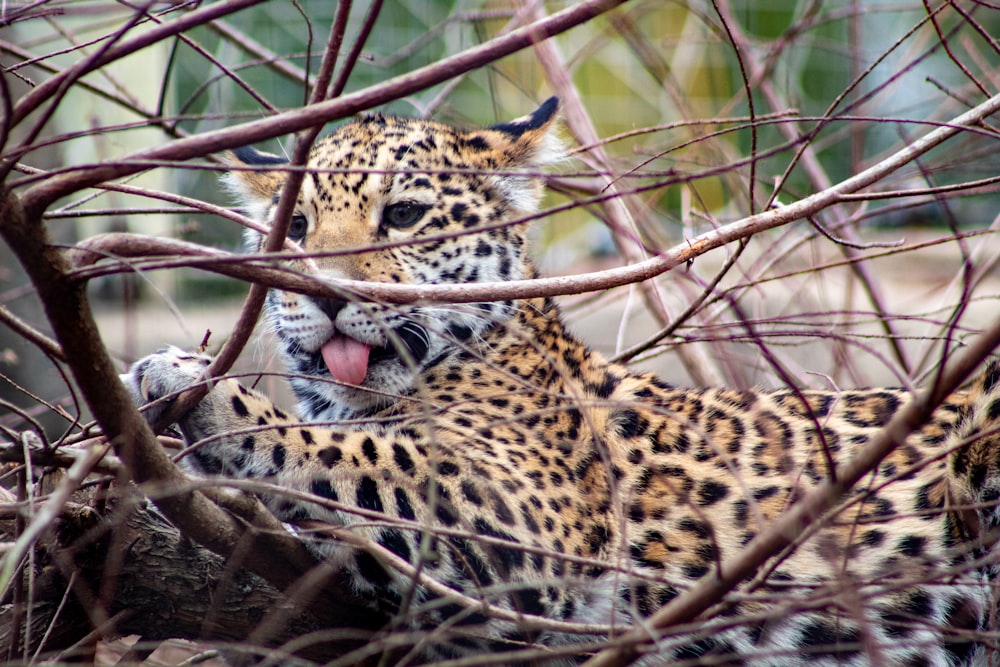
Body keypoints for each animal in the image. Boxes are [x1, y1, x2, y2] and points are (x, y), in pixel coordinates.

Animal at [123, 96, 1000, 664]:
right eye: (297, 228)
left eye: (402, 215)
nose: (326, 295)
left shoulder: (531, 513)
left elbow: (354, 452)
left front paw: (193, 383)